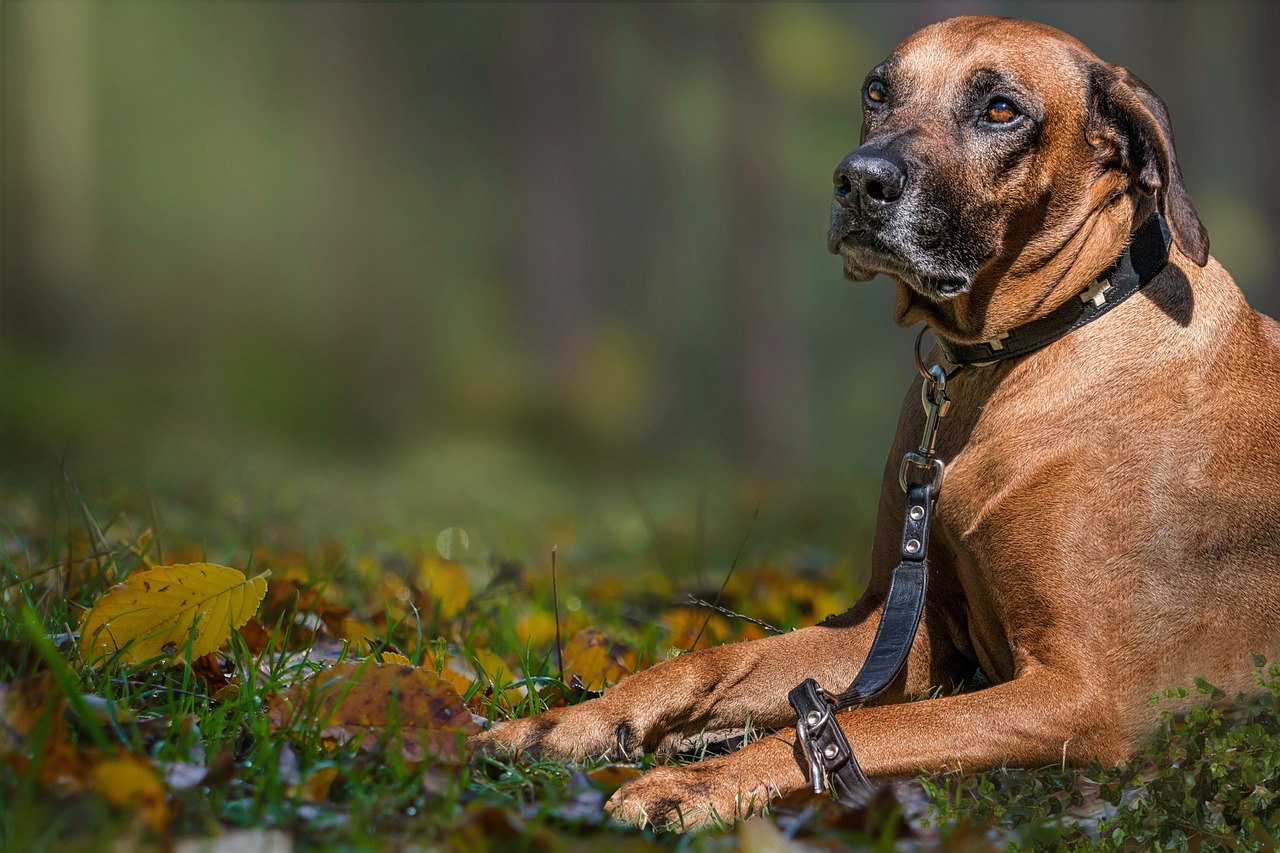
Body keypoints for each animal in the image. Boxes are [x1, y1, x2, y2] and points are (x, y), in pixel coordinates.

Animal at [476, 13, 1280, 824]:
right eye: (877, 91)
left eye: (1001, 110)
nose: (859, 181)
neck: (1015, 357)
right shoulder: (900, 629)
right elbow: (714, 661)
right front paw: (563, 723)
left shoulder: (1088, 693)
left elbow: (858, 728)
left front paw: (695, 781)